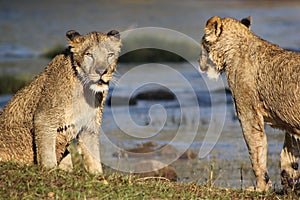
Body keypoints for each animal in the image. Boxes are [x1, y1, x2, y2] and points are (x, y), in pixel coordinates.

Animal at [0, 29, 122, 173]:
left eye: (110, 54)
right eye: (89, 54)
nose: (102, 71)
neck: (85, 90)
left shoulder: (89, 126)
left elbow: (93, 156)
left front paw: (98, 175)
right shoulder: (44, 118)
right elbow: (47, 152)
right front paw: (50, 170)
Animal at [199, 16, 300, 192]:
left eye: (203, 45)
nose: (200, 64)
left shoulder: (247, 112)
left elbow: (256, 150)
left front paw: (260, 187)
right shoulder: (289, 120)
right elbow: (291, 148)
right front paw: (289, 180)